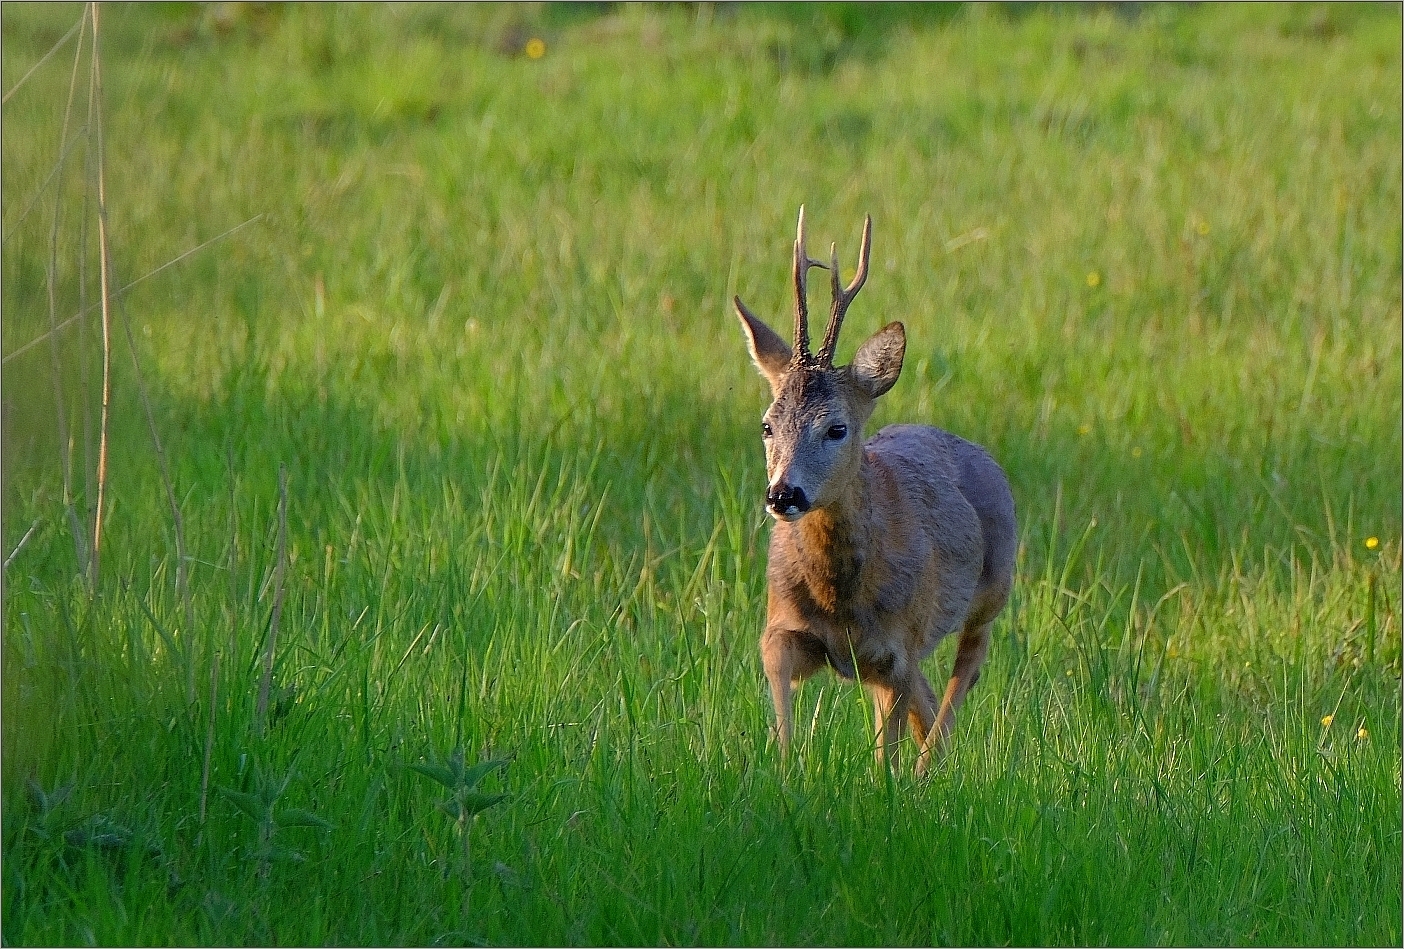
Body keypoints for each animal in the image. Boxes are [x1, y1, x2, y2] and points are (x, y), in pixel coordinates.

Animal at [730, 206, 1016, 769]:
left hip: (994, 585)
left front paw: (887, 782)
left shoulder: (896, 647)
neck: (839, 601)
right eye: (767, 425)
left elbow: (886, 750)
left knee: (967, 665)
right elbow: (782, 712)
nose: (783, 495)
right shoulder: (779, 628)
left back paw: (930, 769)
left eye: (837, 428)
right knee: (930, 691)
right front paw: (784, 770)